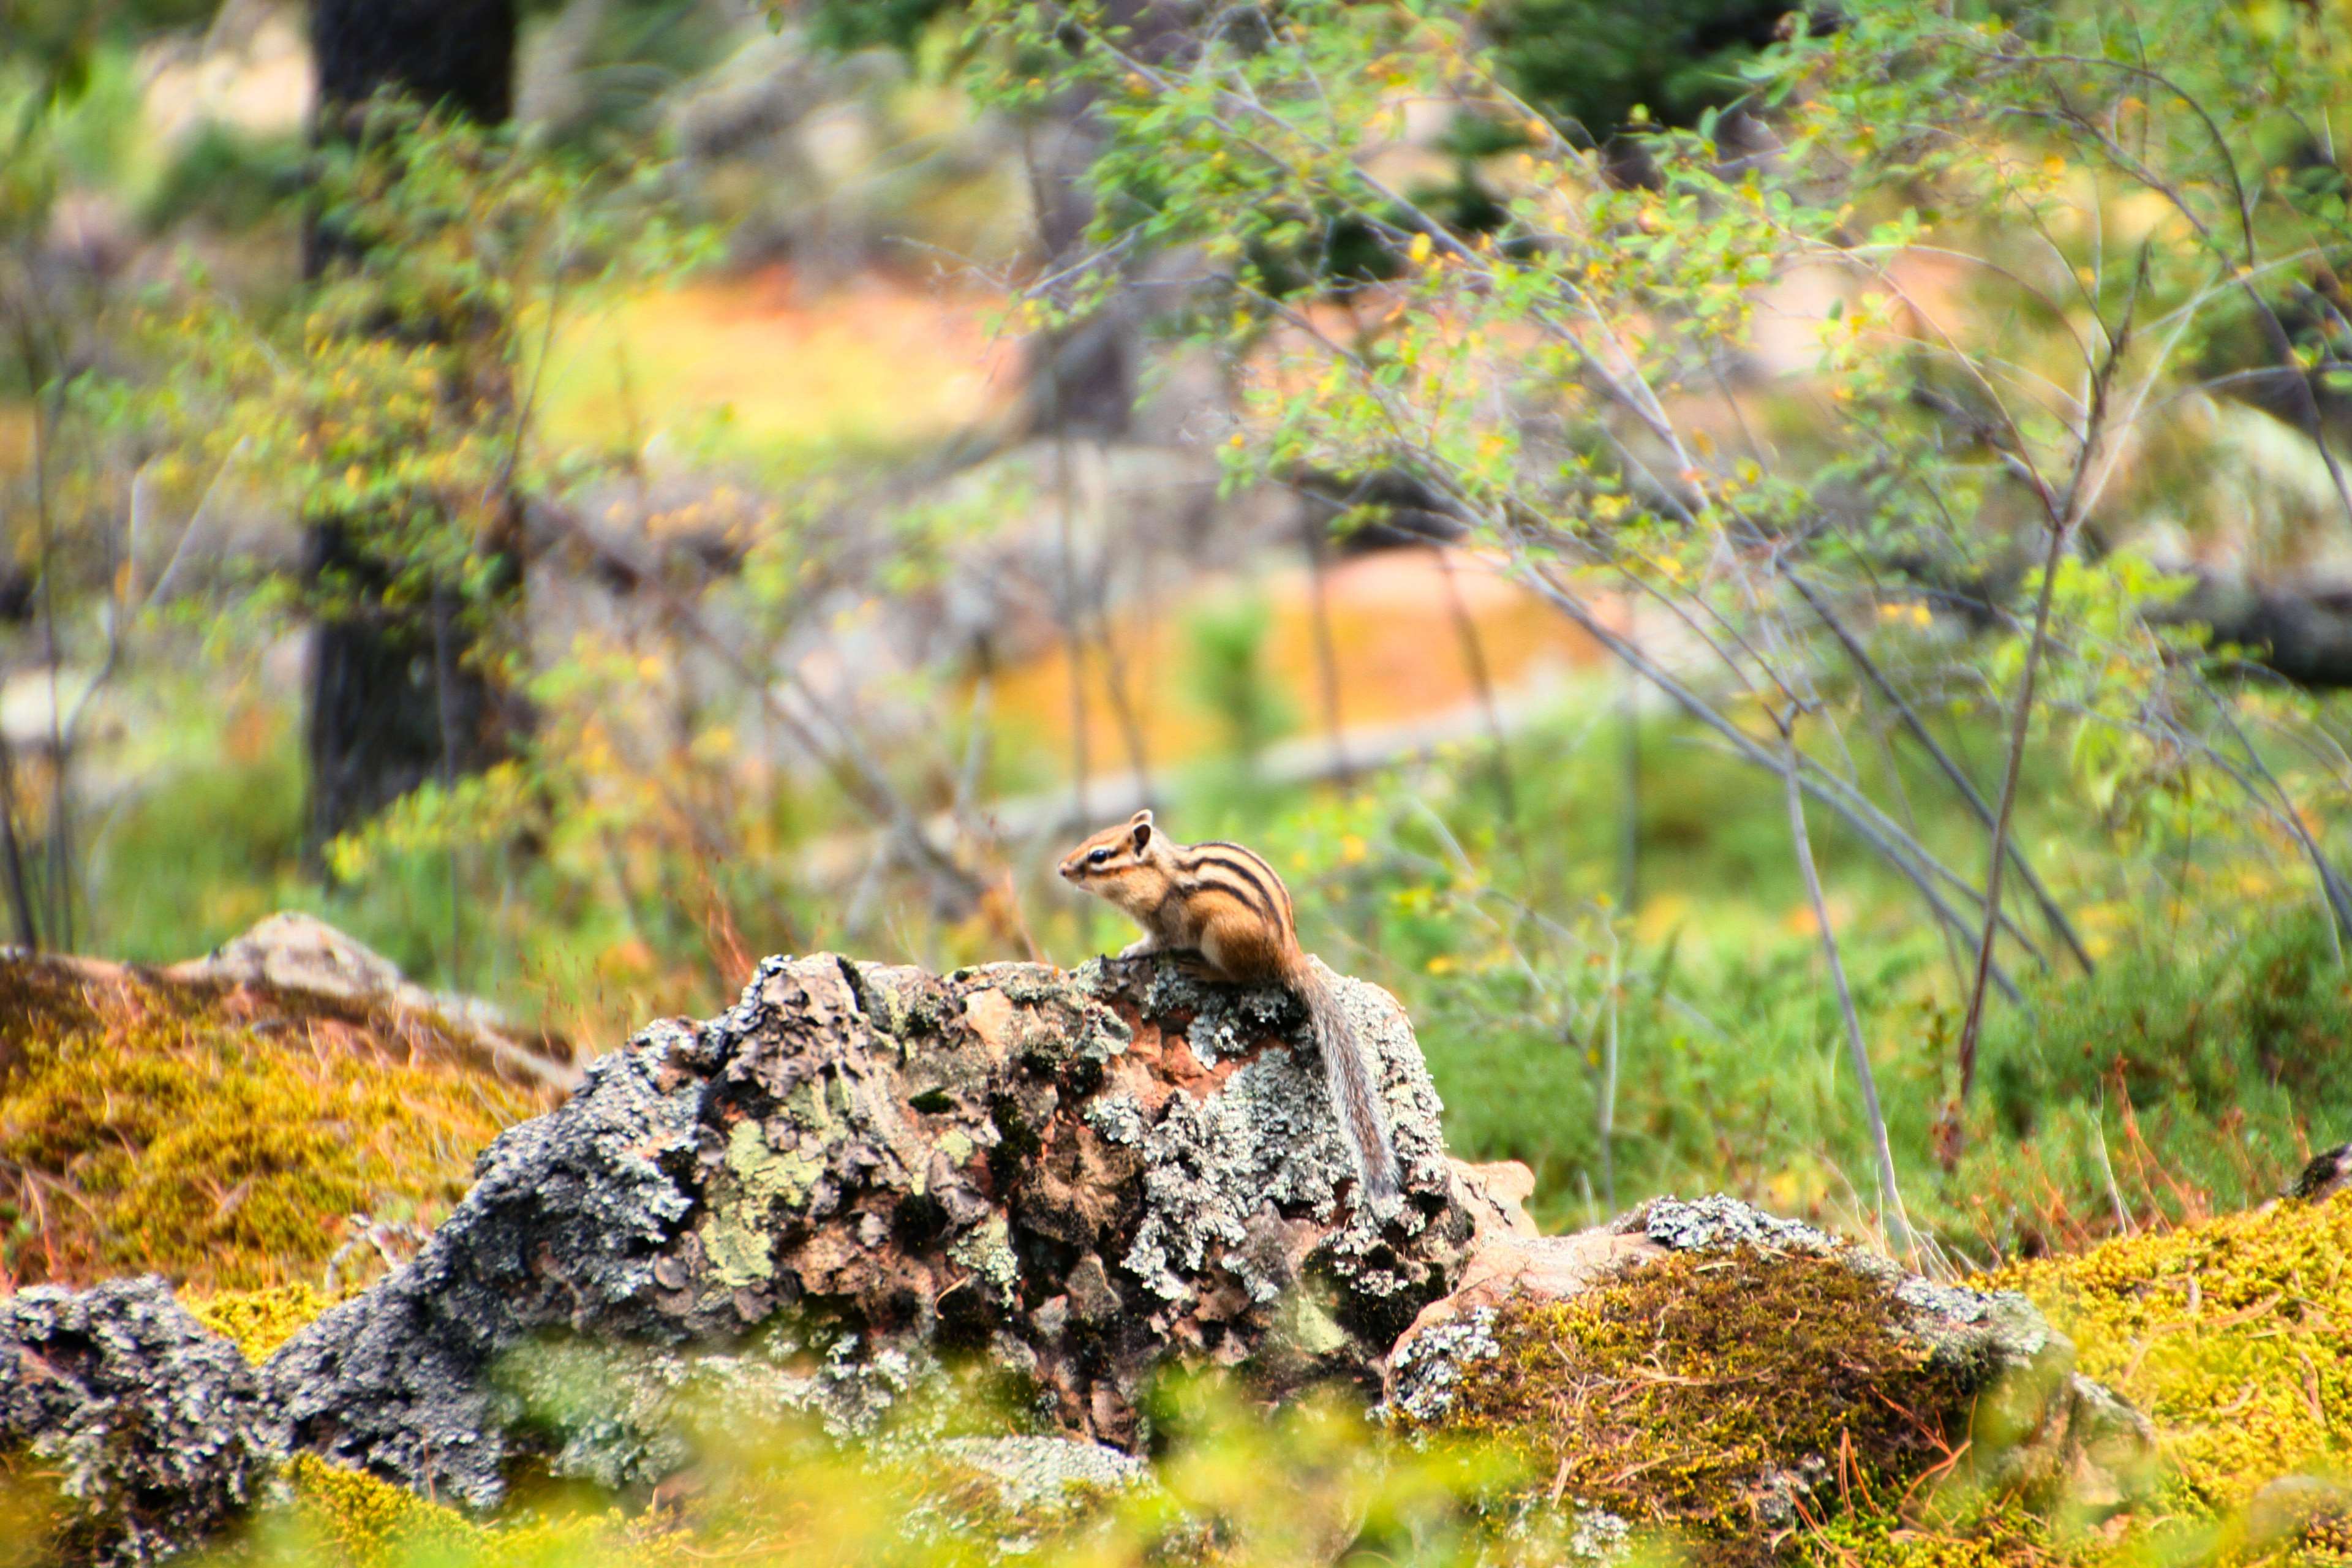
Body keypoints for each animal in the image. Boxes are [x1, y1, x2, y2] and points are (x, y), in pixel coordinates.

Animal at [1057, 809, 1402, 1203]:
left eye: (1099, 856)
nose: (1062, 869)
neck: (1162, 876)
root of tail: (1289, 952)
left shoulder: (1167, 926)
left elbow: (1156, 943)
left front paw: (1131, 950)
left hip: (1221, 936)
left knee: (1241, 978)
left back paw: (1204, 971)